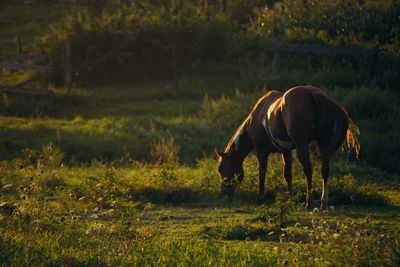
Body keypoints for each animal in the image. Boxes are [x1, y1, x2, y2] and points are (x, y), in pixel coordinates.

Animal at [216, 85, 360, 209]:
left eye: (221, 168)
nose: (223, 191)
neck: (258, 116)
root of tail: (315, 94)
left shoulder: (261, 151)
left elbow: (262, 172)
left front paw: (261, 197)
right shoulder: (285, 151)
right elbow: (288, 175)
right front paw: (291, 197)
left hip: (302, 146)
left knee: (308, 169)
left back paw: (309, 202)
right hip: (323, 148)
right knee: (325, 171)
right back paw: (323, 203)